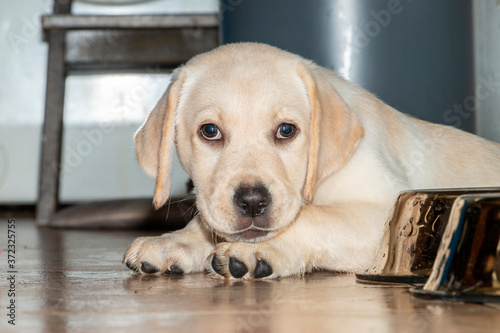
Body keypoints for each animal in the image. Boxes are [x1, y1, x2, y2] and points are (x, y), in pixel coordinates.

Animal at [123, 42, 500, 278]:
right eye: (210, 132)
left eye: (287, 130)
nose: (252, 202)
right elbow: (208, 222)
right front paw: (175, 242)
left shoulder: (384, 212)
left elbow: (312, 218)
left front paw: (260, 251)